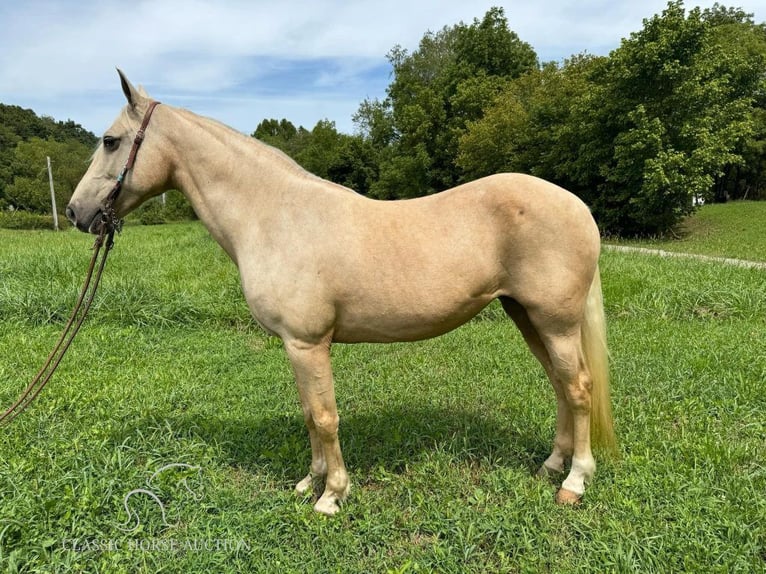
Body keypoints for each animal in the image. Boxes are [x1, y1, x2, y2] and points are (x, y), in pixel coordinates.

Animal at [66, 72, 616, 516]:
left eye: (110, 141)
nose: (75, 212)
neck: (274, 215)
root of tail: (577, 205)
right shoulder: (296, 346)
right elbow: (310, 416)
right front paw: (307, 483)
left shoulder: (309, 343)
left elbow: (327, 418)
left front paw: (331, 496)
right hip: (527, 316)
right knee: (561, 386)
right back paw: (551, 465)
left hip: (555, 322)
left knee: (578, 388)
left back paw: (574, 482)